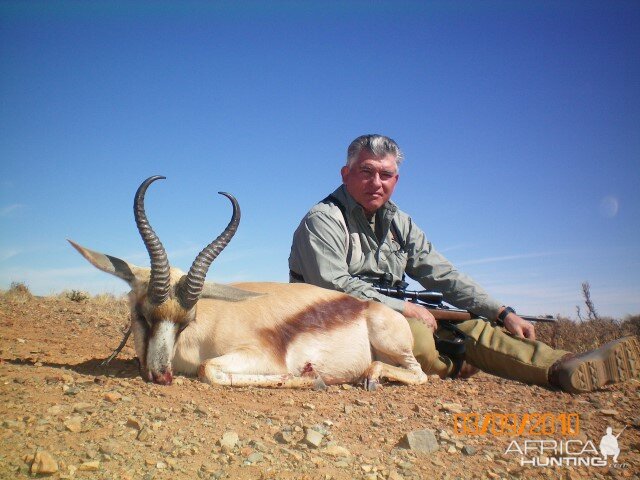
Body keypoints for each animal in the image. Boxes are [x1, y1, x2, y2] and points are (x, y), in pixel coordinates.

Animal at [69, 176, 424, 390]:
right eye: (140, 315)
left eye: (187, 320)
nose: (162, 375)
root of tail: (369, 307)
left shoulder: (261, 356)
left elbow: (207, 369)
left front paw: (311, 377)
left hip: (391, 344)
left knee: (418, 373)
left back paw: (370, 376)